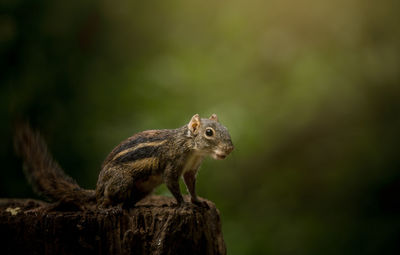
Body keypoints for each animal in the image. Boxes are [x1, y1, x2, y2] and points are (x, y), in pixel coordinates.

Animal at [14, 114, 234, 209]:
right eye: (209, 133)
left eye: (226, 128)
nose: (230, 148)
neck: (193, 149)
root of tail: (97, 187)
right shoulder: (171, 164)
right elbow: (172, 184)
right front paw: (183, 204)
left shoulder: (190, 170)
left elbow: (191, 186)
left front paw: (197, 201)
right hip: (122, 181)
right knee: (103, 201)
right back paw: (110, 205)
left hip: (144, 189)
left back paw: (129, 206)